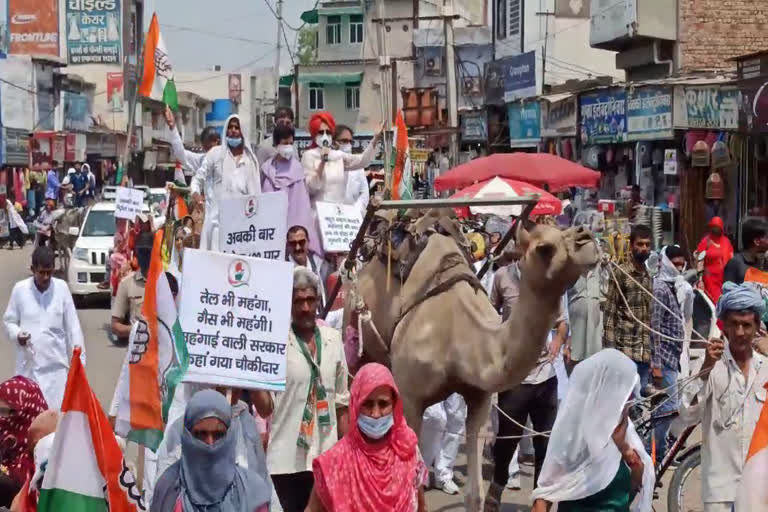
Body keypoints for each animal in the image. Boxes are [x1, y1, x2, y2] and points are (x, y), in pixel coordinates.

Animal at [344, 210, 596, 510]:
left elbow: (474, 492)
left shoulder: (480, 399)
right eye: (544, 248)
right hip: (354, 339)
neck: (459, 336)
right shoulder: (410, 398)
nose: (587, 237)